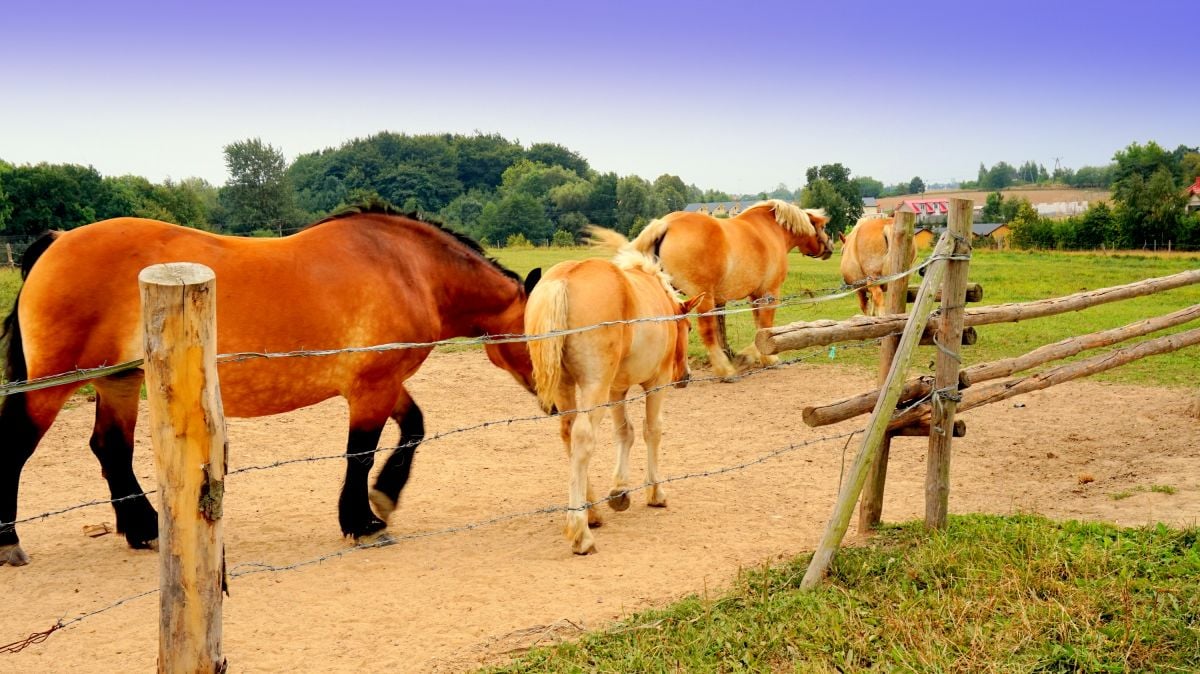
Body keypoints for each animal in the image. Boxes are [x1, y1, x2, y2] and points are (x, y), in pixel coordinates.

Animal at [0, 205, 535, 566]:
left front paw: (383, 499)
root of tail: (59, 240)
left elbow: (413, 429)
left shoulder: (380, 384)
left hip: (119, 381)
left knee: (111, 448)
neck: (407, 268)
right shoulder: (372, 388)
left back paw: (143, 529)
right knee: (19, 448)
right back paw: (10, 541)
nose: (549, 401)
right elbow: (360, 454)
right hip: (54, 384)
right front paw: (362, 520)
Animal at [525, 227, 700, 554]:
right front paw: (655, 492)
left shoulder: (617, 390)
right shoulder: (655, 384)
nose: (685, 377)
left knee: (568, 435)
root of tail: (563, 279)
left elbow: (625, 432)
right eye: (689, 328)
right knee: (582, 438)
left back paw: (591, 513)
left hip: (568, 388)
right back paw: (581, 532)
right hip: (594, 388)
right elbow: (651, 430)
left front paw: (620, 491)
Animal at [624, 197, 830, 378]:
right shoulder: (770, 292)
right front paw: (761, 358)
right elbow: (765, 324)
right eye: (822, 226)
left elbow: (758, 326)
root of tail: (666, 224)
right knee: (708, 333)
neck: (771, 230)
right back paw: (725, 370)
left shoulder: (754, 296)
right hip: (704, 299)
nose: (829, 246)